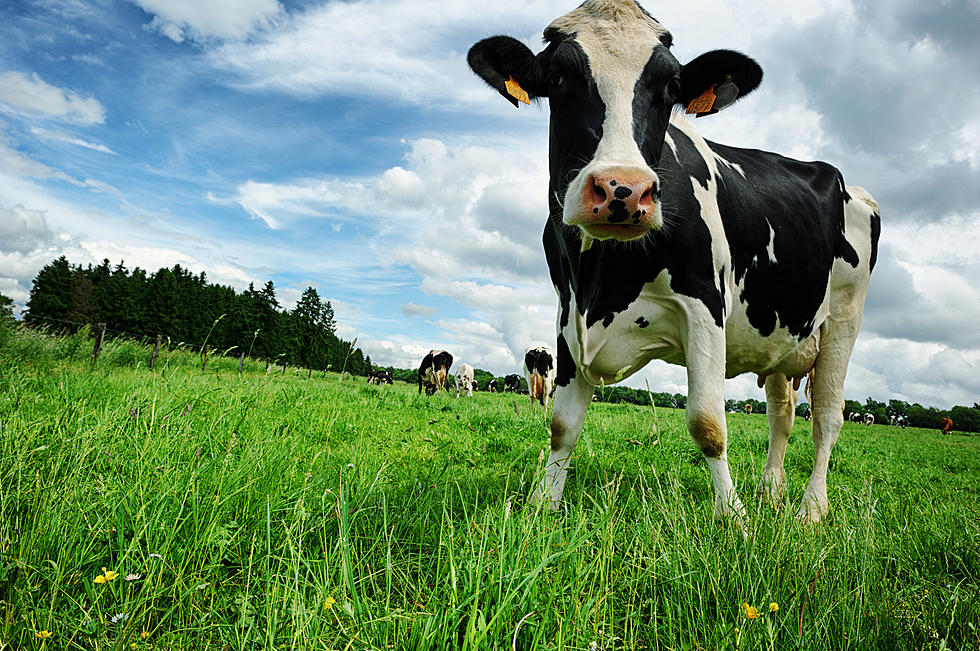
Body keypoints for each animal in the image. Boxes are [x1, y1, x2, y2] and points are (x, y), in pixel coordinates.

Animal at [468, 0, 880, 524]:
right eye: (559, 77)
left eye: (669, 86)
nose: (623, 189)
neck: (602, 279)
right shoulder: (567, 314)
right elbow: (562, 424)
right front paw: (544, 504)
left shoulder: (704, 304)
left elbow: (708, 423)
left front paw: (733, 518)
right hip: (783, 336)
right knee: (783, 414)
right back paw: (770, 492)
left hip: (844, 318)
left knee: (827, 415)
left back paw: (811, 508)